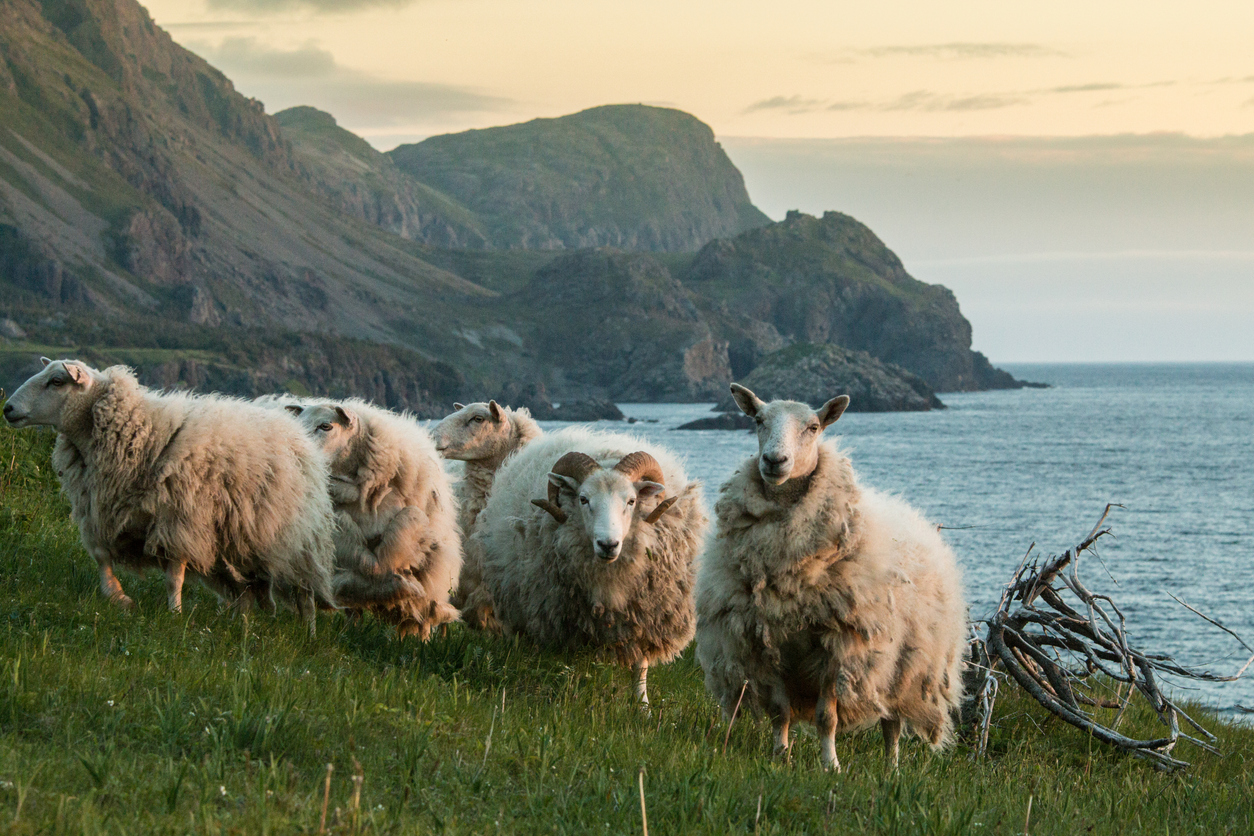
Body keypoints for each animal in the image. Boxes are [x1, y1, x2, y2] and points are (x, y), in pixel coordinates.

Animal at [2, 358, 336, 628]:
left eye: (56, 381)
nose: (7, 408)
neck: (139, 429)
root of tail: (296, 433)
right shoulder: (103, 510)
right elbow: (100, 555)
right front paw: (117, 597)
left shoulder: (179, 519)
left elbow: (174, 576)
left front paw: (174, 615)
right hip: (236, 539)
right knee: (247, 588)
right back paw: (240, 623)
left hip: (299, 540)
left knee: (305, 593)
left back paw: (307, 633)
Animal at [286, 399, 461, 640]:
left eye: (326, 426)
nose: (298, 447)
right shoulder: (342, 541)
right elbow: (363, 573)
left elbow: (404, 527)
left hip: (435, 567)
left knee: (426, 611)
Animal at [476, 427, 707, 705]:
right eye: (583, 499)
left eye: (631, 501)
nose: (608, 544)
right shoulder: (565, 621)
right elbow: (568, 664)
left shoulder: (643, 616)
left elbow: (640, 666)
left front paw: (642, 705)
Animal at [694, 383, 967, 772]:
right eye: (758, 420)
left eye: (813, 427)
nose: (774, 461)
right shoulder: (769, 643)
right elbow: (780, 712)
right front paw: (780, 756)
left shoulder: (837, 646)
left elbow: (828, 718)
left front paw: (831, 765)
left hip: (905, 667)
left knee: (892, 722)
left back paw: (892, 768)